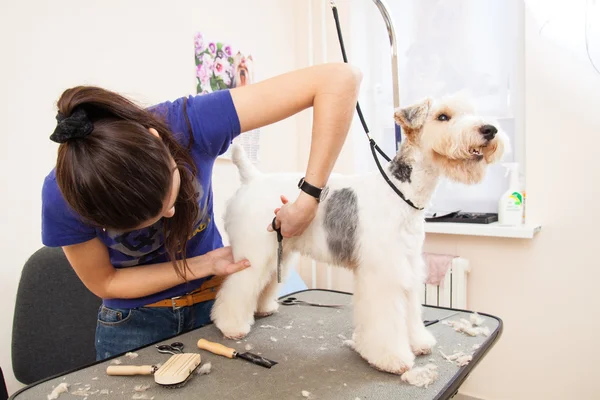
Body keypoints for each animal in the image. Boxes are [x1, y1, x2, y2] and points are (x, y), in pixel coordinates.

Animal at [211, 94, 506, 376]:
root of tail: (252, 178)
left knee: (264, 283)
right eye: (442, 116)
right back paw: (231, 325)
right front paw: (391, 358)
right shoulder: (384, 274)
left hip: (279, 253)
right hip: (253, 253)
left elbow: (410, 312)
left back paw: (263, 308)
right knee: (236, 288)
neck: (402, 192)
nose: (489, 130)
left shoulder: (409, 268)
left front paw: (418, 342)